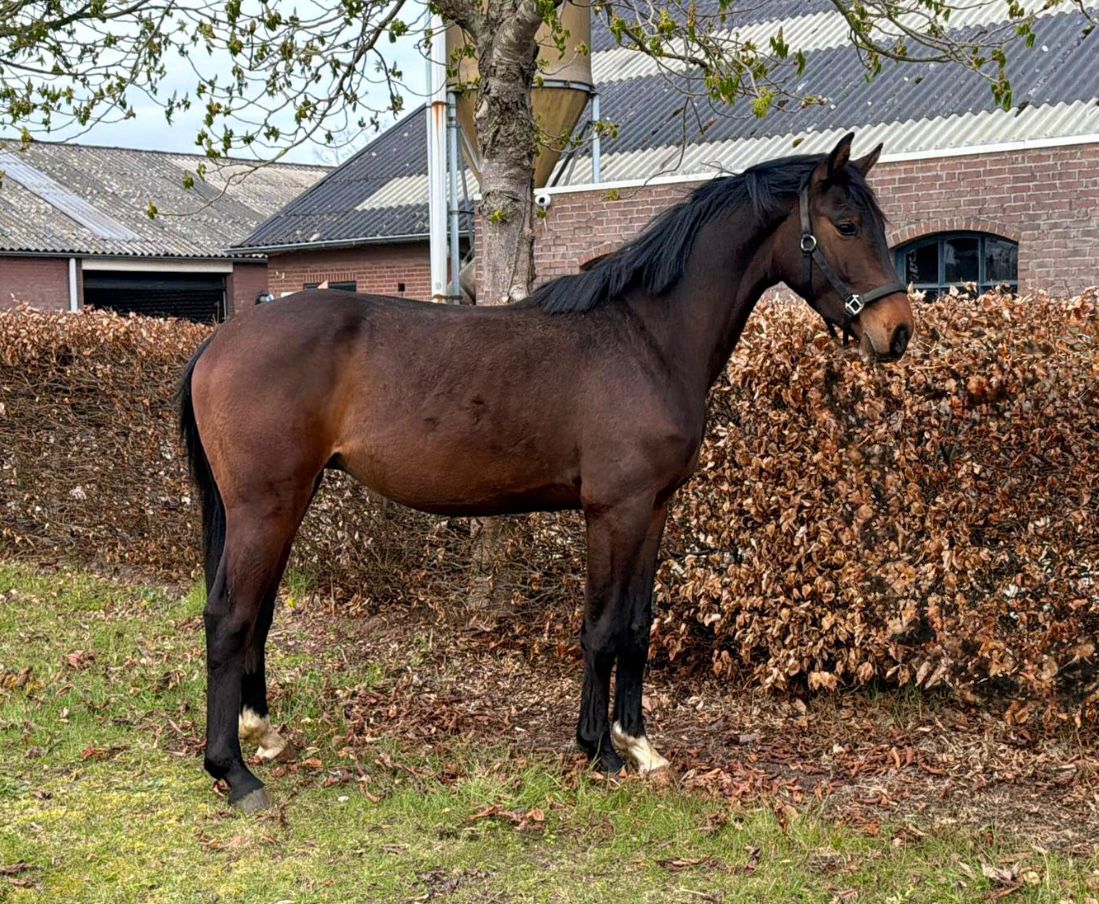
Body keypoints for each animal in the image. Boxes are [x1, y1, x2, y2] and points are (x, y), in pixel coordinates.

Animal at [178, 133, 913, 812]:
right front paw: (597, 750)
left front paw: (638, 744)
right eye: (846, 224)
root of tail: (219, 340)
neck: (645, 339)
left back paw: (263, 733)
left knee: (259, 610)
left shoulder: (655, 508)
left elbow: (637, 624)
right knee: (227, 615)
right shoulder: (612, 511)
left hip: (287, 502)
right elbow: (601, 627)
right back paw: (233, 772)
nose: (898, 331)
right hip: (264, 507)